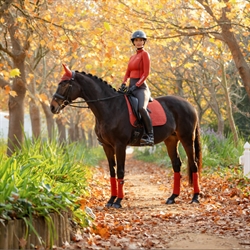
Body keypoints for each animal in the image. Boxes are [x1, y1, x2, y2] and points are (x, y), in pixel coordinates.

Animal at [50, 63, 201, 208]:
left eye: (64, 84)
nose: (52, 107)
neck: (110, 107)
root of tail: (190, 105)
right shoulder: (107, 146)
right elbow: (112, 172)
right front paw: (111, 200)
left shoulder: (120, 145)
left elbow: (120, 171)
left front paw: (118, 201)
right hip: (171, 140)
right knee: (176, 164)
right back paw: (172, 197)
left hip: (187, 138)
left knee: (193, 164)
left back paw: (195, 198)